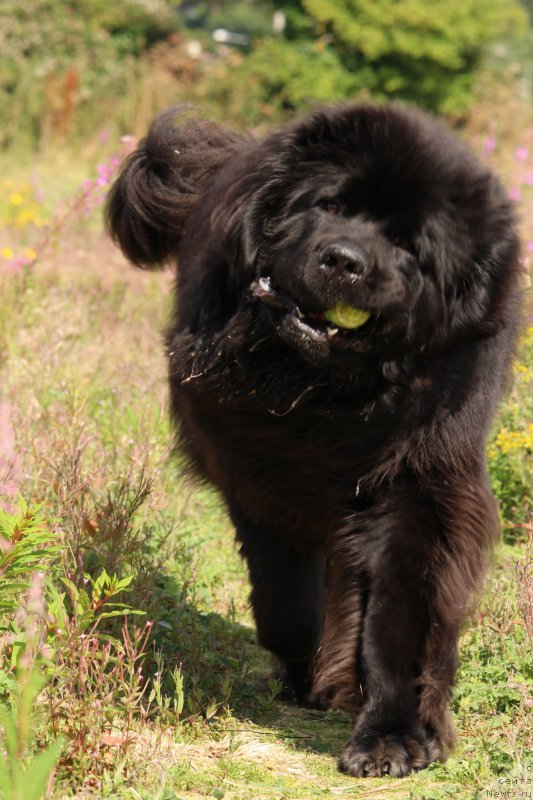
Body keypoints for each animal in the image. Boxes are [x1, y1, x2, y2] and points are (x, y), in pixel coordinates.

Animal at [107, 103, 520, 780]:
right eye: (330, 206)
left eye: (409, 246)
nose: (346, 260)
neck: (324, 397)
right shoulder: (257, 479)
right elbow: (285, 602)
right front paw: (305, 674)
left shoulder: (416, 486)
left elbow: (401, 614)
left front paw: (393, 735)